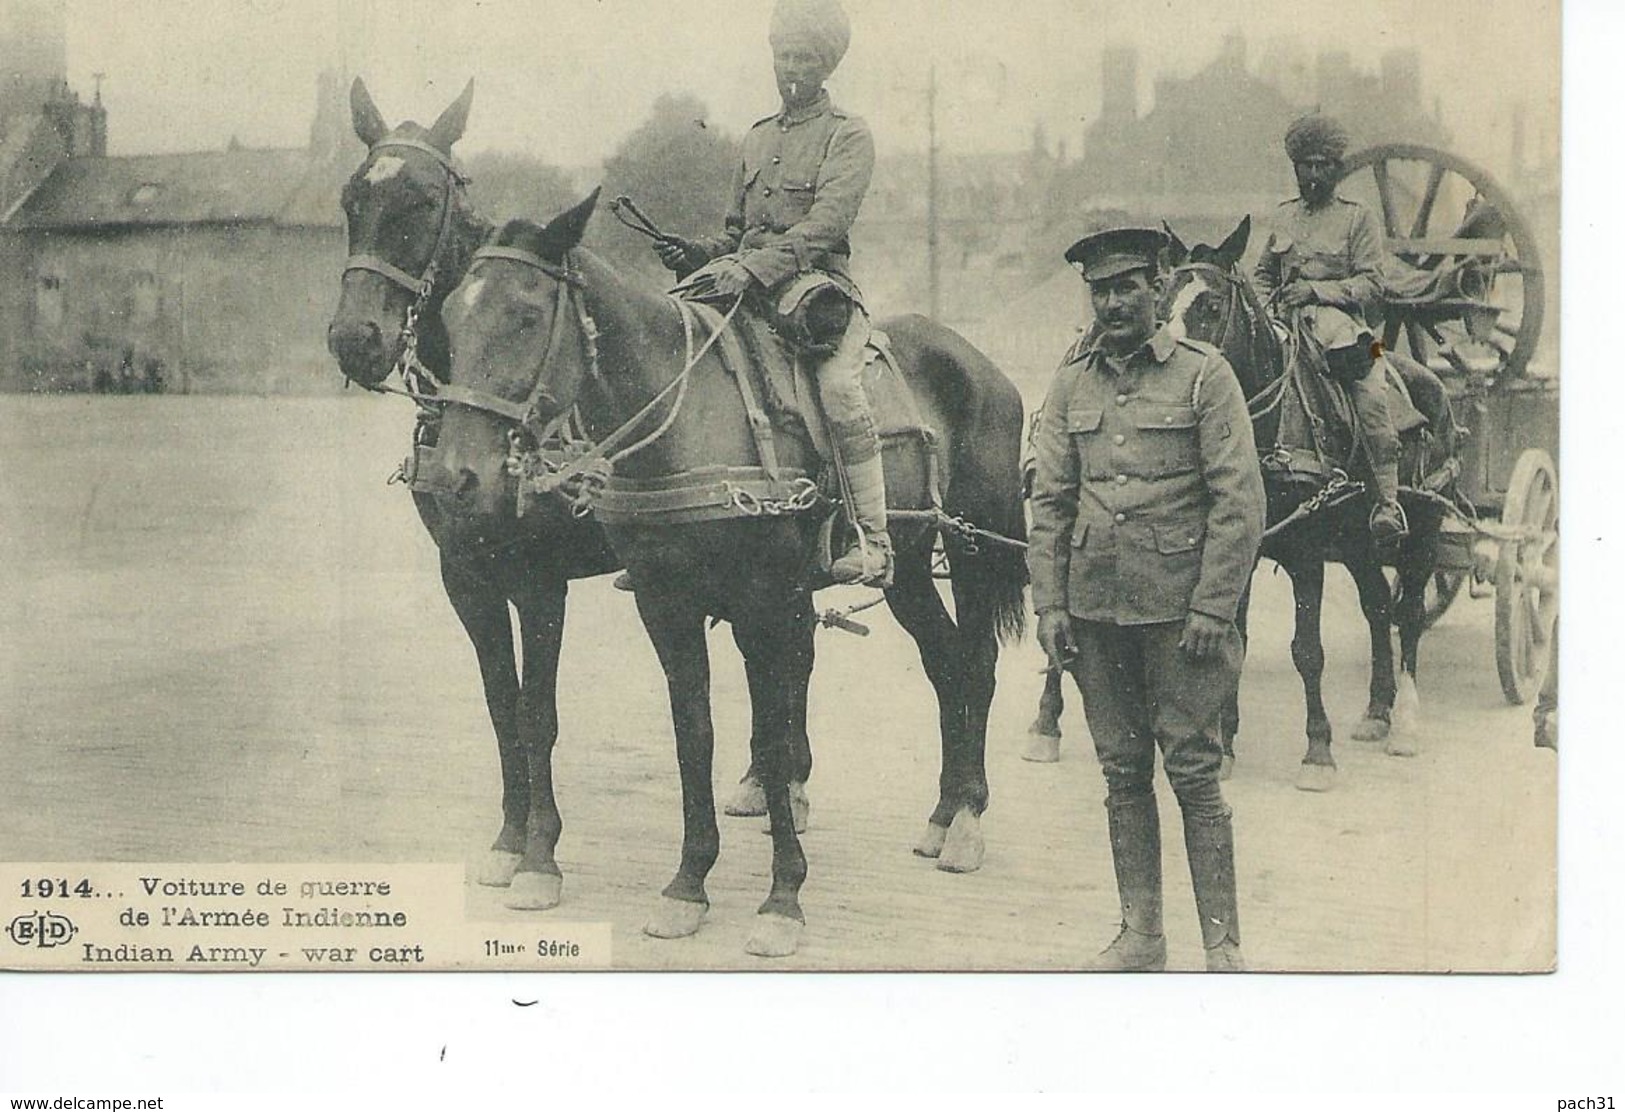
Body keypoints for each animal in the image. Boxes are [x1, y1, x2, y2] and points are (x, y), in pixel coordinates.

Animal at [326, 82, 617, 910]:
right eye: (351, 198)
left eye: (424, 199)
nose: (355, 338)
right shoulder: (465, 575)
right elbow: (500, 707)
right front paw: (508, 841)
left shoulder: (541, 579)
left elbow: (538, 712)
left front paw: (541, 858)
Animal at [438, 197, 1020, 955]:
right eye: (450, 317)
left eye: (526, 317)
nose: (456, 475)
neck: (683, 417)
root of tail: (980, 365)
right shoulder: (665, 607)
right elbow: (695, 732)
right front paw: (688, 885)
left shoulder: (764, 607)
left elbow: (771, 740)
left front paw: (782, 901)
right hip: (911, 568)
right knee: (946, 665)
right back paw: (944, 813)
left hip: (975, 552)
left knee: (976, 666)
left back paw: (969, 823)